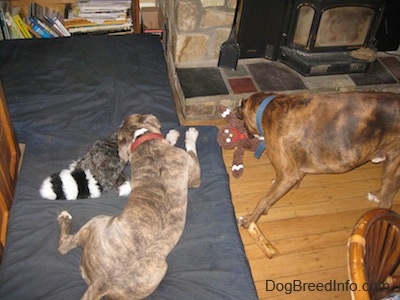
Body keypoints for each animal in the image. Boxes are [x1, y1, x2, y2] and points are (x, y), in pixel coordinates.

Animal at [236, 91, 400, 227]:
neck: (269, 108)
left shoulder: (288, 176)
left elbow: (264, 199)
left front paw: (250, 220)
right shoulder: (294, 172)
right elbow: (274, 194)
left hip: (393, 168)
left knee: (386, 203)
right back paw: (376, 195)